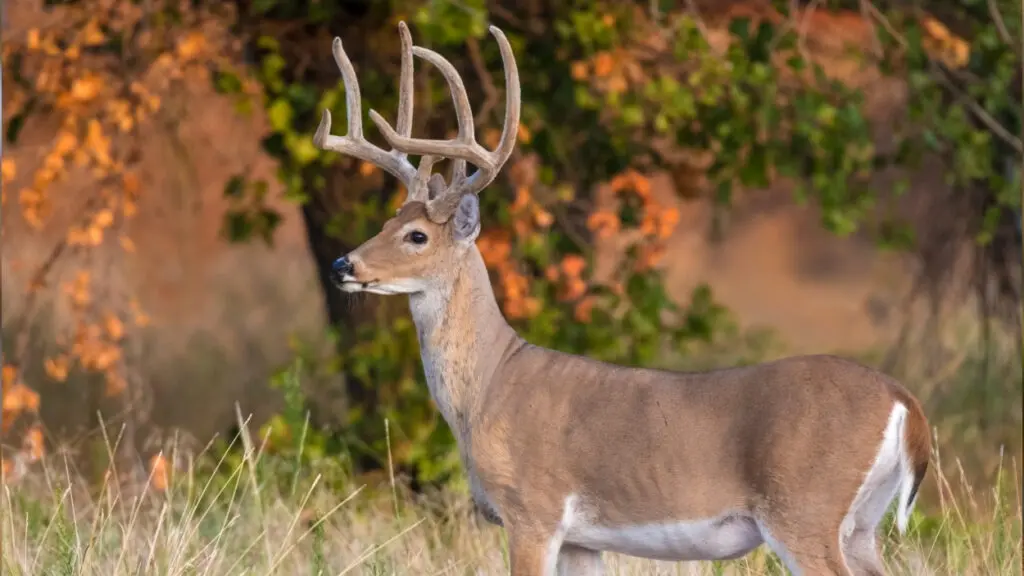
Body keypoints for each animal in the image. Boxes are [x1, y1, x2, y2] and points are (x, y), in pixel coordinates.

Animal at [312, 21, 931, 576]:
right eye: (387, 221)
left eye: (417, 236)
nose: (344, 265)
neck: (489, 389)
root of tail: (905, 403)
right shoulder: (584, 540)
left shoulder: (533, 511)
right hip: (862, 524)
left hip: (803, 508)